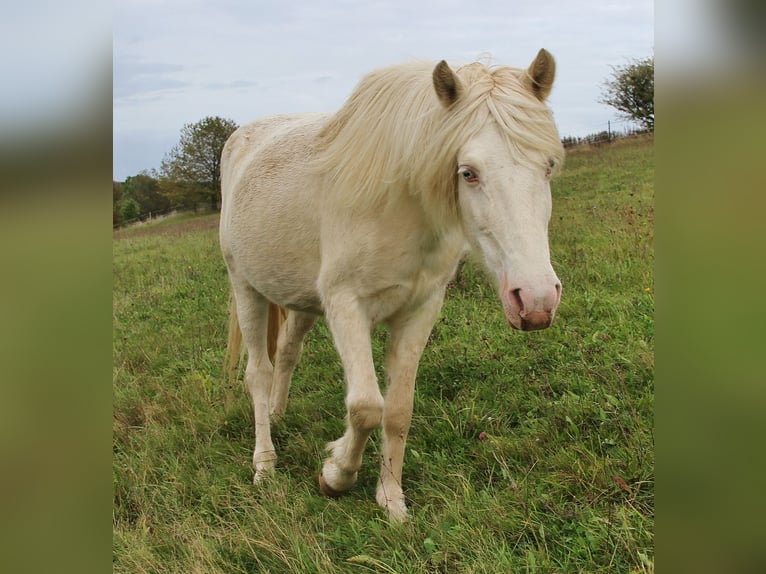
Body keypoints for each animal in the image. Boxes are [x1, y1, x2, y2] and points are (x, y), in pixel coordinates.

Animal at [220, 49, 565, 521]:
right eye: (468, 173)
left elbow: (398, 410)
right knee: (258, 372)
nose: (536, 299)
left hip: (300, 300)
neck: (399, 206)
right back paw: (265, 463)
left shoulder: (420, 309)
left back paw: (277, 414)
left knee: (287, 352)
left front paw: (391, 499)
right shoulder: (346, 306)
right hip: (246, 288)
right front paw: (335, 475)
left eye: (548, 166)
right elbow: (366, 407)